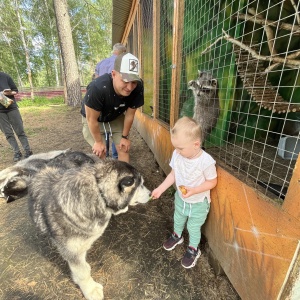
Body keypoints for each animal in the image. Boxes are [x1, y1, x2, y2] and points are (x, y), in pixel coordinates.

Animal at [0, 151, 150, 298]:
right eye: (141, 185)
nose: (150, 193)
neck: (98, 193)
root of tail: (71, 151)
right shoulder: (72, 253)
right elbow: (82, 272)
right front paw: (90, 290)